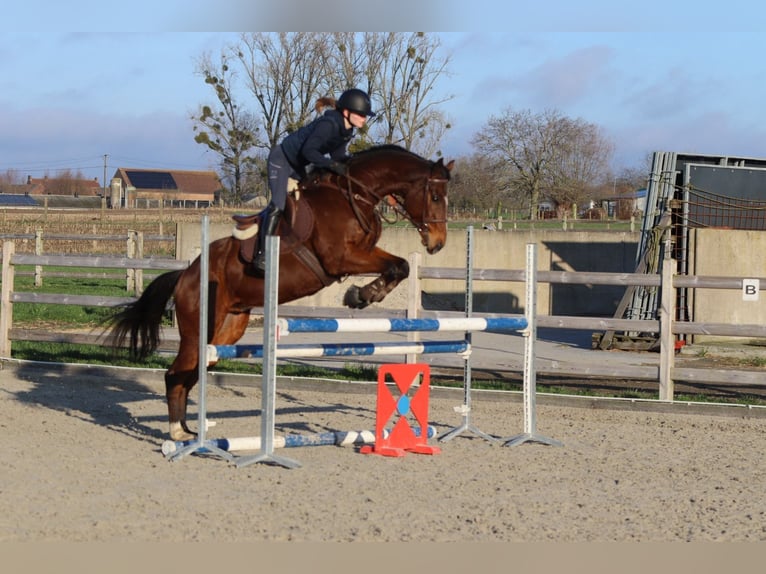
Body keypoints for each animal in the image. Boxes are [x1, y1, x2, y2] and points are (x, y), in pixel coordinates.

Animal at [106, 145, 454, 440]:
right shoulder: (340, 258)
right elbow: (398, 266)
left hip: (227, 330)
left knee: (193, 373)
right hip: (197, 329)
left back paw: (188, 431)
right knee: (175, 374)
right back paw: (178, 433)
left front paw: (366, 294)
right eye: (436, 196)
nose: (438, 243)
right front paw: (362, 295)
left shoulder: (363, 252)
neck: (354, 195)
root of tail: (186, 275)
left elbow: (400, 266)